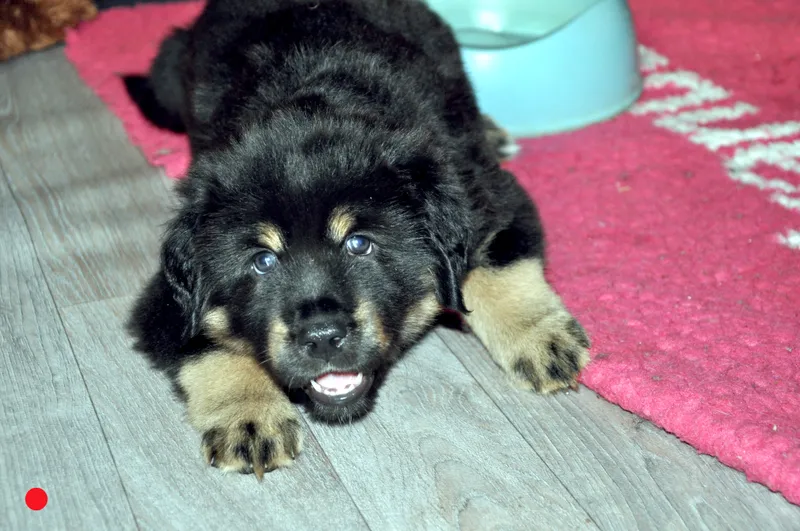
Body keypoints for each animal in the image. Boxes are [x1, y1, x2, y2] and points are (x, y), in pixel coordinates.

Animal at [125, 0, 591, 480]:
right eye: (262, 261)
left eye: (359, 244)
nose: (321, 336)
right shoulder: (167, 297)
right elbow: (203, 342)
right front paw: (249, 417)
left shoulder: (488, 197)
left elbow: (500, 265)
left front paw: (540, 340)